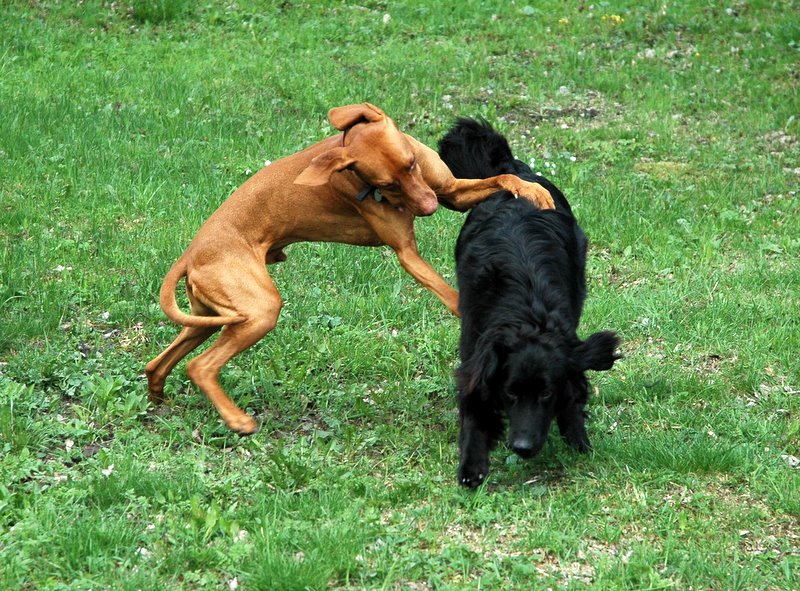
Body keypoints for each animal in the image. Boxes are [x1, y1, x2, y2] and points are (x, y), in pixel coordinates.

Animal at [145, 103, 555, 435]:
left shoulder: (452, 191)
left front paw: (534, 191)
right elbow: (451, 296)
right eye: (385, 183)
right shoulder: (407, 253)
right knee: (200, 366)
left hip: (212, 319)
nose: (427, 208)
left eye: (411, 163)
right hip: (259, 312)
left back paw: (158, 398)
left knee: (159, 362)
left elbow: (503, 178)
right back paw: (236, 419)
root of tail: (191, 253)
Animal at [438, 118, 620, 488]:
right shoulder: (476, 347)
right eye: (510, 393)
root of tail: (513, 170)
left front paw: (578, 440)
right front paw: (472, 465)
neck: (528, 315)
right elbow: (474, 402)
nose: (522, 447)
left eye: (546, 394)